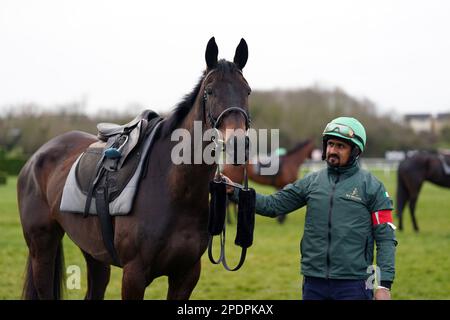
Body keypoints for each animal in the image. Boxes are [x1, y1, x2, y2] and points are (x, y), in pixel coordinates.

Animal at [17, 37, 253, 300]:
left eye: (247, 91)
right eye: (210, 91)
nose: (237, 144)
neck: (176, 191)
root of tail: (35, 158)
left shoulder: (186, 275)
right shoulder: (134, 275)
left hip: (93, 251)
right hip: (42, 247)